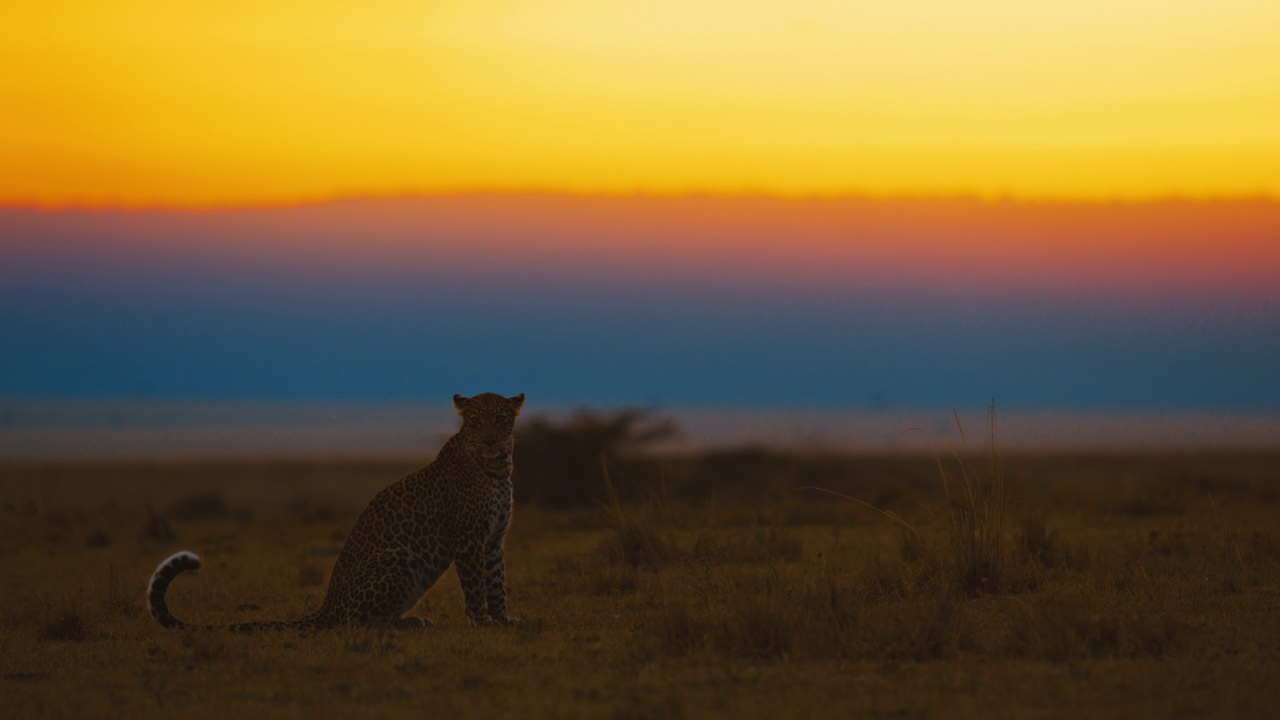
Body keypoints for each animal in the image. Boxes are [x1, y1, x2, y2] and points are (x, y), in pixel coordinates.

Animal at [148, 389, 524, 630]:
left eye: (501, 418)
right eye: (475, 420)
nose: (490, 439)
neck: (496, 467)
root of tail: (327, 606)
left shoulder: (493, 541)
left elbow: (496, 583)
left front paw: (503, 620)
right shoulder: (469, 539)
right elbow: (475, 585)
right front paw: (482, 623)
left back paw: (414, 620)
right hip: (399, 558)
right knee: (355, 623)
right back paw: (407, 624)